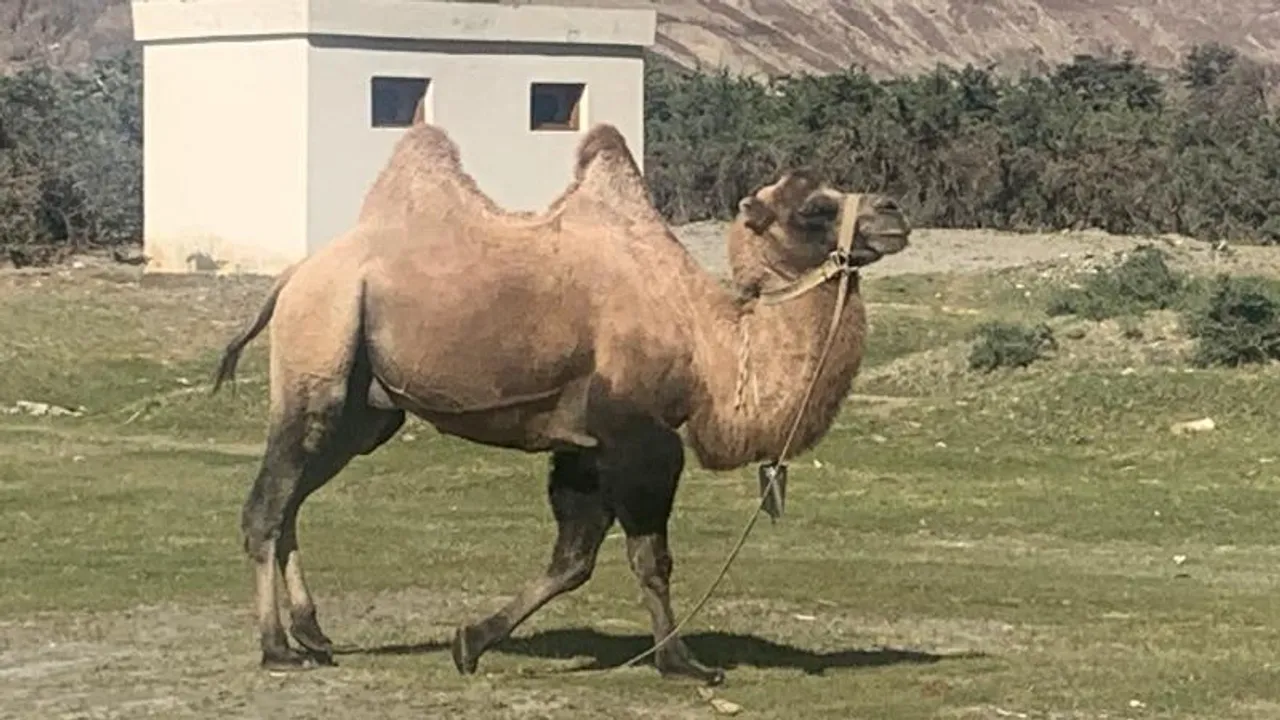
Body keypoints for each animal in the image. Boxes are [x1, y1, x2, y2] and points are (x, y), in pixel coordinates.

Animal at [211, 118, 911, 686]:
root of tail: (294, 276)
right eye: (815, 208)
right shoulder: (640, 438)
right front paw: (682, 663)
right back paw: (278, 649)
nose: (894, 211)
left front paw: (471, 641)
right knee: (267, 506)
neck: (707, 339)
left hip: (368, 408)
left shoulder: (585, 448)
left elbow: (572, 560)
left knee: (295, 497)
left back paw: (314, 633)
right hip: (320, 350)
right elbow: (650, 559)